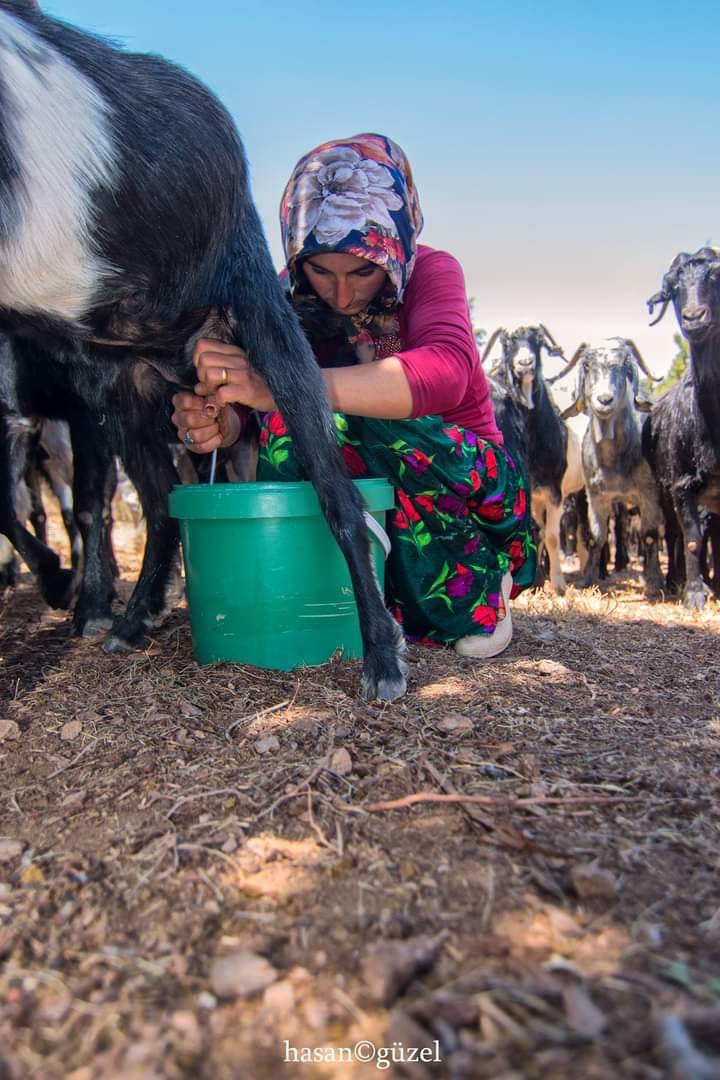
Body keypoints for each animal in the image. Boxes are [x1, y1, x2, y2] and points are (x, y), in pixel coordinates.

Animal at [0, 2, 405, 699]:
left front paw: (60, 585)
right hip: (123, 388)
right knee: (163, 506)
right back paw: (133, 618)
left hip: (262, 315)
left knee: (339, 495)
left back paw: (381, 654)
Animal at [483, 324, 587, 596]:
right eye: (507, 343)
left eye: (537, 340)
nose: (525, 363)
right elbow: (535, 530)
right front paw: (538, 581)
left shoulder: (554, 491)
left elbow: (551, 535)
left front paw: (558, 584)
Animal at [561, 339, 664, 600]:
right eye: (587, 365)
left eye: (625, 366)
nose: (605, 399)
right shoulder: (596, 495)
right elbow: (596, 537)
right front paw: (587, 579)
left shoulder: (649, 493)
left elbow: (650, 535)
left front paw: (653, 584)